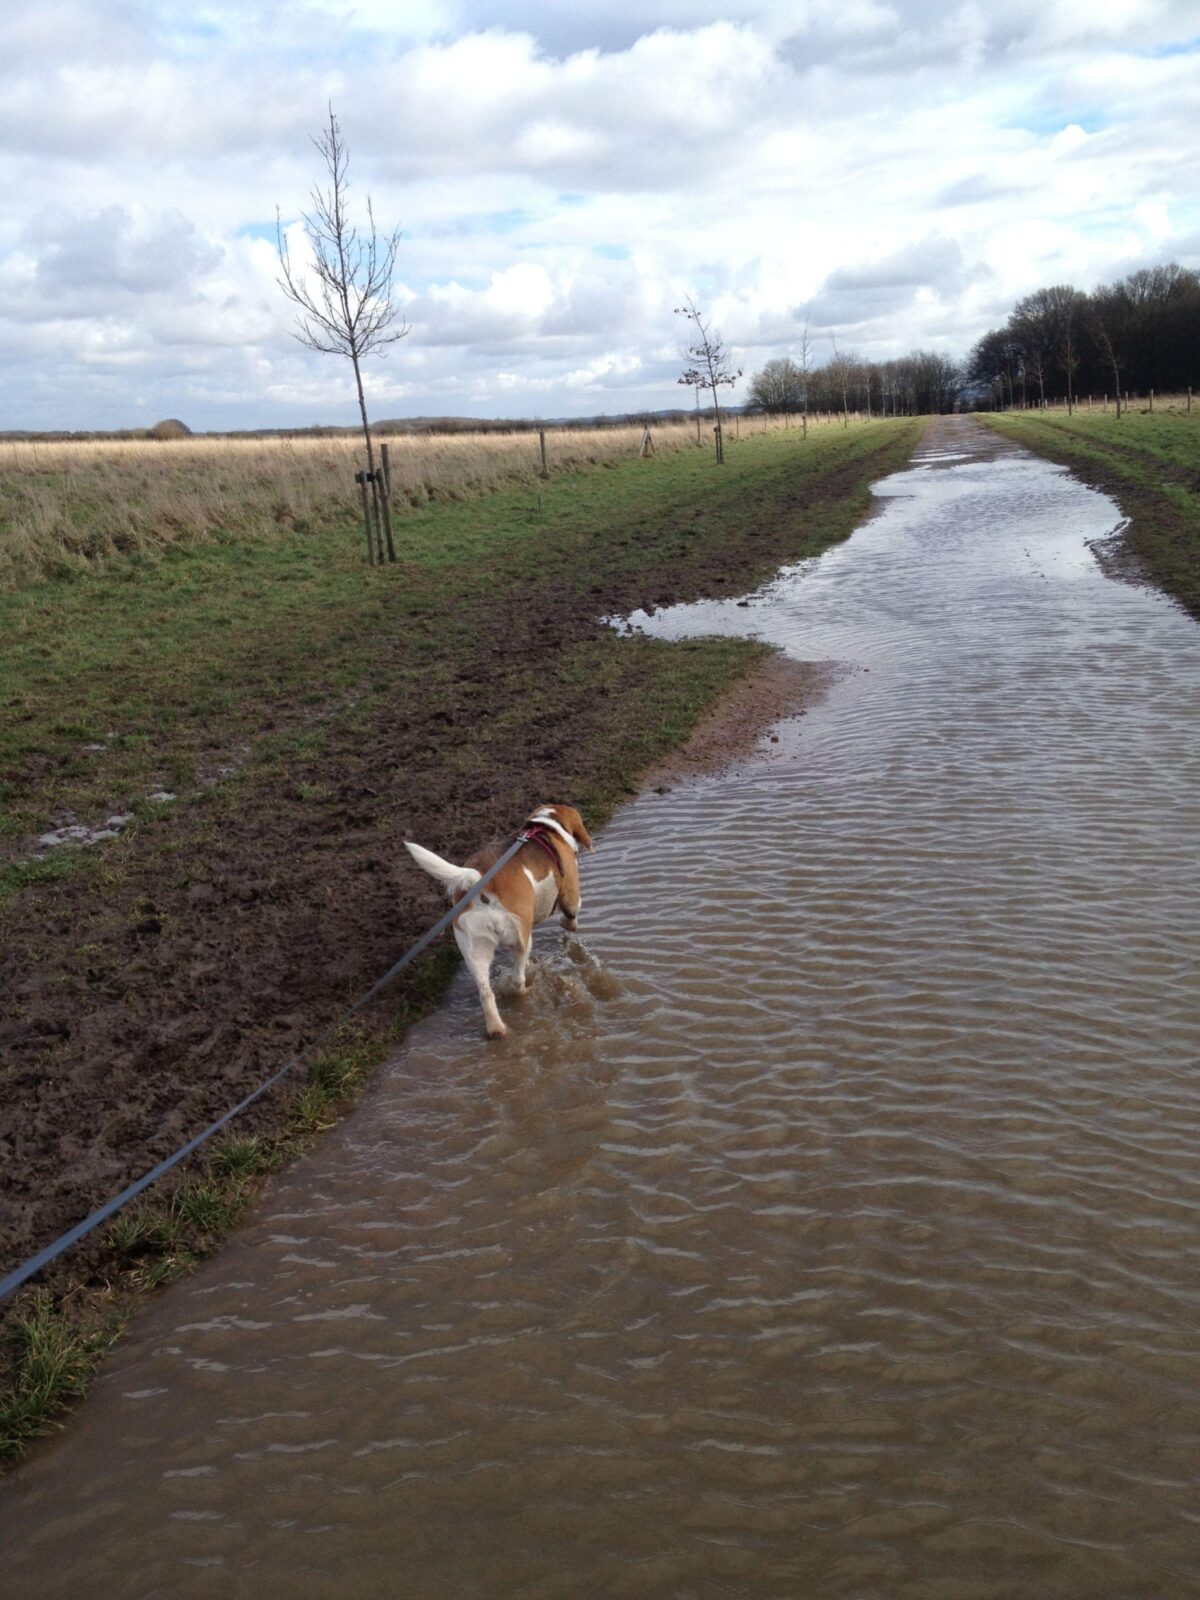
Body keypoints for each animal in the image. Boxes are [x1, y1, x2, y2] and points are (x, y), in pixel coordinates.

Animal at [406, 806, 595, 1043]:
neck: (547, 827)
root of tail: (480, 884)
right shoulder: (570, 891)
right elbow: (572, 913)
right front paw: (568, 924)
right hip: (520, 937)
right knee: (517, 978)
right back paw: (524, 990)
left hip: (475, 950)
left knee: (486, 993)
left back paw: (496, 1029)